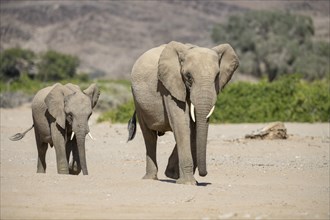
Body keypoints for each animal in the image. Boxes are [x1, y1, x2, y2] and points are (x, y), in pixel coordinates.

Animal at [127, 40, 238, 184]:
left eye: (217, 76)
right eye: (188, 76)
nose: (204, 174)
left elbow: (192, 127)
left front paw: (175, 176)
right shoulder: (168, 85)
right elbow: (181, 123)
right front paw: (188, 183)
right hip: (137, 99)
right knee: (149, 136)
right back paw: (150, 178)